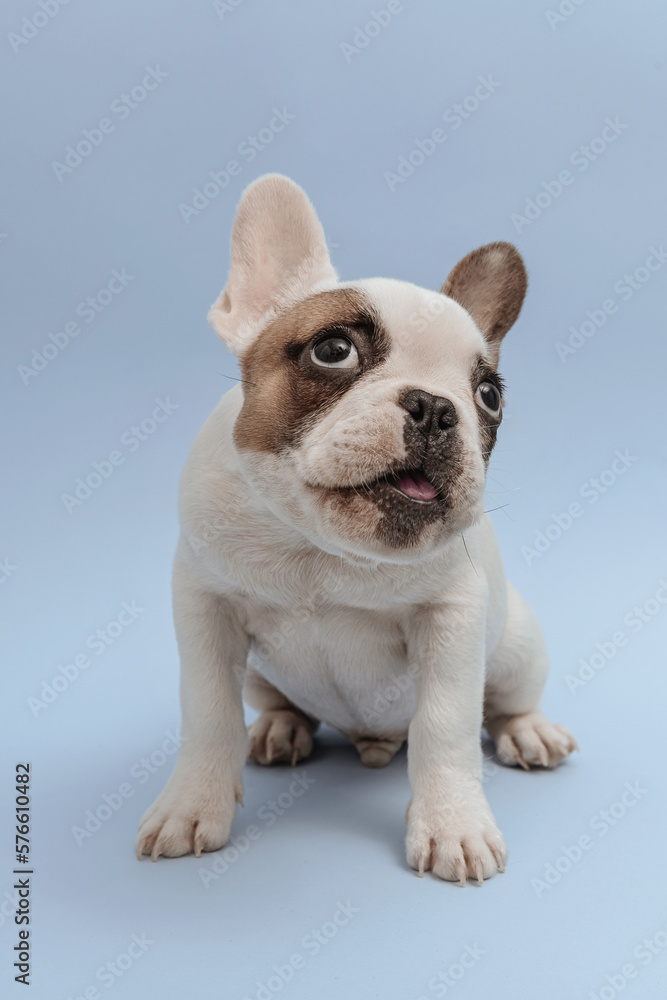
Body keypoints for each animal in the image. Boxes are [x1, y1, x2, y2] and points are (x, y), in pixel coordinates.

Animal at [137, 176, 580, 888]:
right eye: (333, 350)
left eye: (489, 395)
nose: (436, 407)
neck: (321, 548)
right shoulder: (205, 605)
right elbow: (208, 713)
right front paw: (190, 805)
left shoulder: (452, 619)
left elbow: (446, 726)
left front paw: (452, 826)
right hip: (260, 674)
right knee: (273, 704)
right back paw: (279, 730)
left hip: (517, 646)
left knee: (507, 701)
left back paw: (529, 732)